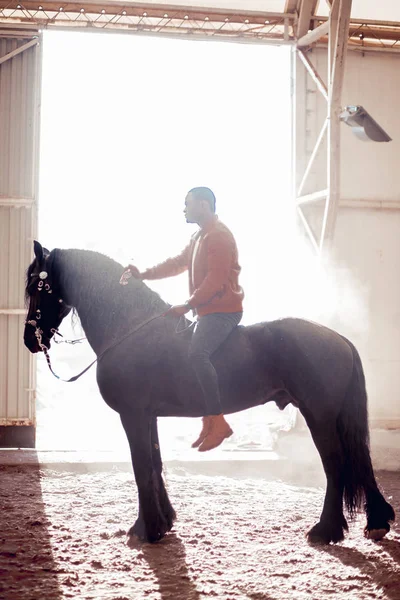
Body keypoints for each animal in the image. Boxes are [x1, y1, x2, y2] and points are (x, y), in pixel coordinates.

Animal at [23, 243, 396, 544]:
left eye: (40, 285)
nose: (30, 340)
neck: (130, 329)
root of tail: (338, 338)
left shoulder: (132, 415)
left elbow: (142, 468)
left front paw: (147, 530)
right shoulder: (148, 416)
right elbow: (155, 464)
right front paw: (163, 522)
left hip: (318, 416)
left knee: (336, 465)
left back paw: (326, 530)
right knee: (359, 461)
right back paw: (376, 521)